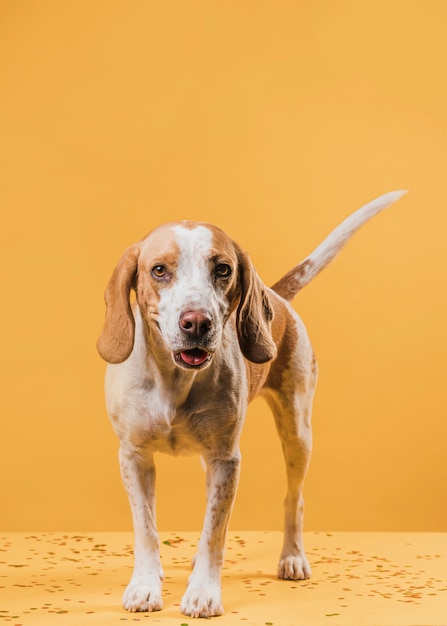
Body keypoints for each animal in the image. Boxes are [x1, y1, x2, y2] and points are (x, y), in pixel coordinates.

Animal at [97, 189, 406, 616]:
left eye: (223, 269)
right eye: (159, 270)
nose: (197, 322)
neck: (174, 381)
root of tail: (275, 295)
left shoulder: (227, 460)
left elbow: (215, 532)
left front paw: (204, 592)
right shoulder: (134, 456)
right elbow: (147, 529)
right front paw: (145, 585)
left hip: (297, 433)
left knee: (295, 500)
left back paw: (292, 557)